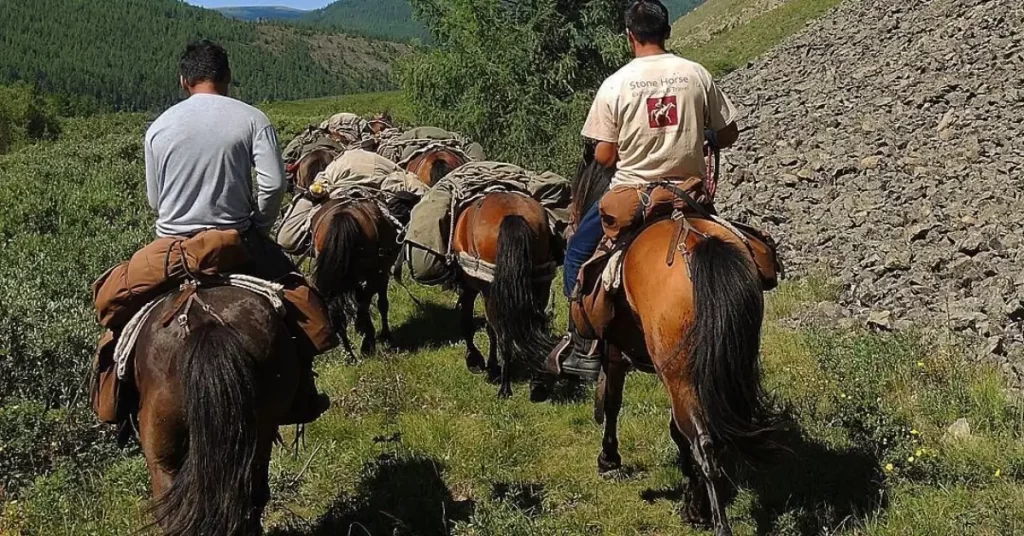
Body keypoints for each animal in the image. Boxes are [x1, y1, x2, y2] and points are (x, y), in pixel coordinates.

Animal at [311, 195, 411, 357]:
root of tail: (344, 214)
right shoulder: (382, 273)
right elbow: (381, 303)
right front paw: (383, 334)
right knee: (363, 303)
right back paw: (367, 343)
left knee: (337, 312)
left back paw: (350, 354)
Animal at [452, 191, 555, 399]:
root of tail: (512, 215)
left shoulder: (471, 286)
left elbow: (470, 322)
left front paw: (479, 362)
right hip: (541, 283)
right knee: (536, 326)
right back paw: (538, 383)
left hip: (490, 290)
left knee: (502, 333)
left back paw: (504, 388)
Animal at [571, 157, 770, 536]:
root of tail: (696, 242)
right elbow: (674, 433)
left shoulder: (615, 352)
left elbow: (613, 403)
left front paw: (609, 459)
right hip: (721, 366)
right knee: (712, 433)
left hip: (680, 375)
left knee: (704, 441)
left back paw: (714, 520)